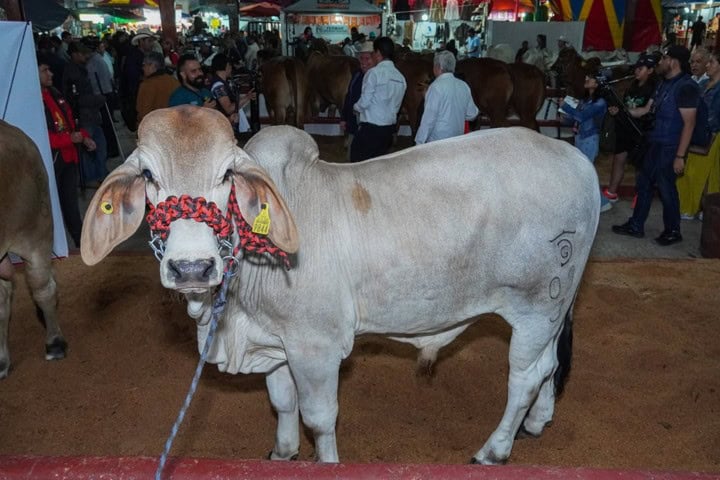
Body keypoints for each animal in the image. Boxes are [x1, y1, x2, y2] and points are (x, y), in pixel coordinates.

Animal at [80, 106, 600, 464]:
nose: (192, 268)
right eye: (148, 175)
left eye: (227, 173)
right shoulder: (276, 339)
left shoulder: (317, 345)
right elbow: (282, 401)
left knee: (527, 376)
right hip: (553, 313)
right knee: (551, 366)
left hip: (537, 306)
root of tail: (577, 160)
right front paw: (282, 452)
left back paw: (493, 449)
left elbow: (319, 417)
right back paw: (537, 423)